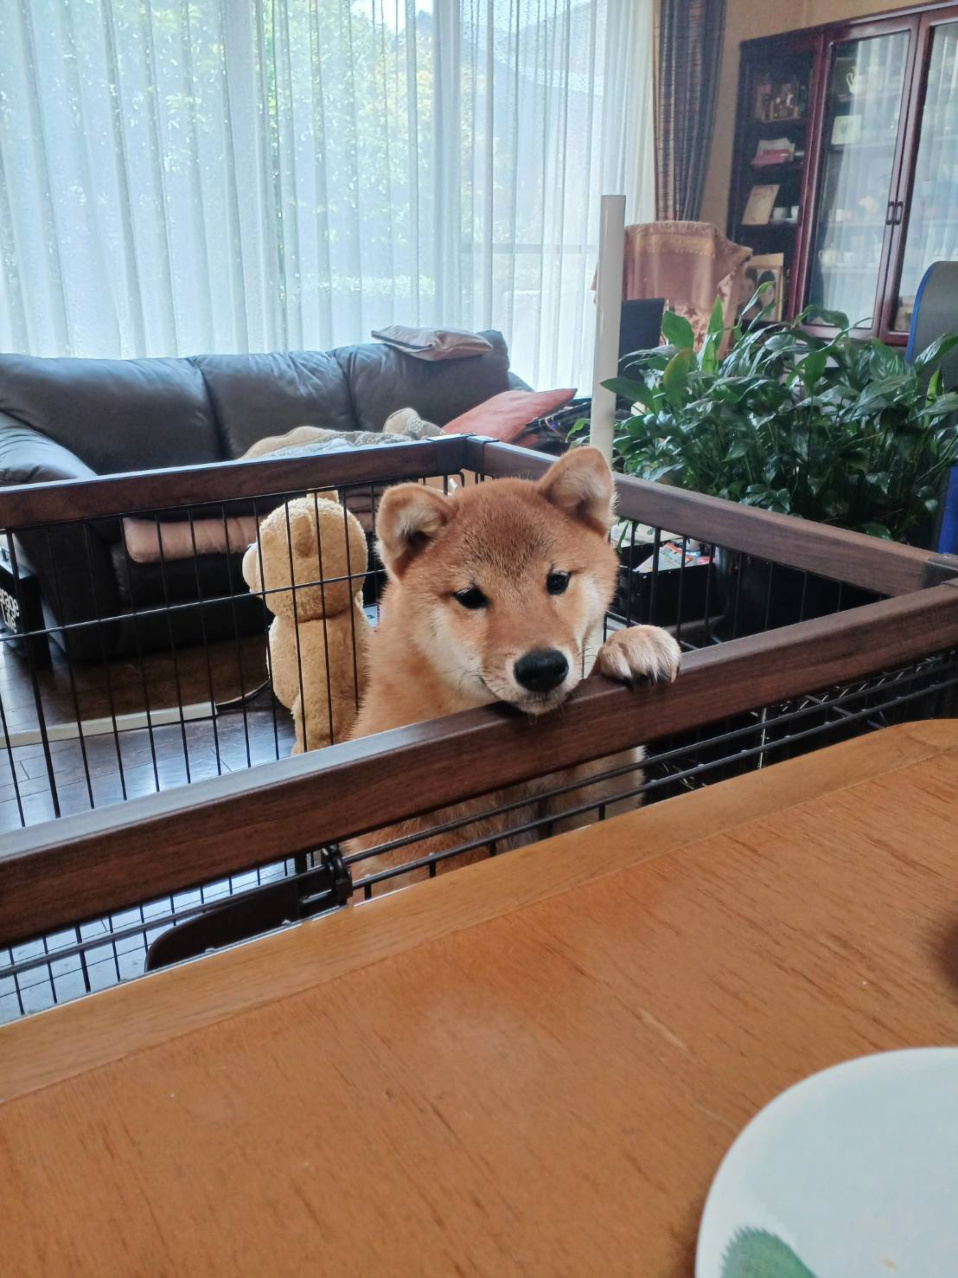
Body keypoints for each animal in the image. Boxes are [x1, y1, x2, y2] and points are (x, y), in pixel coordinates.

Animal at [347, 447, 681, 882]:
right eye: (470, 597)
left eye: (557, 580)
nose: (543, 667)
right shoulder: (398, 843)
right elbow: (458, 862)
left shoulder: (594, 798)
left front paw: (629, 643)